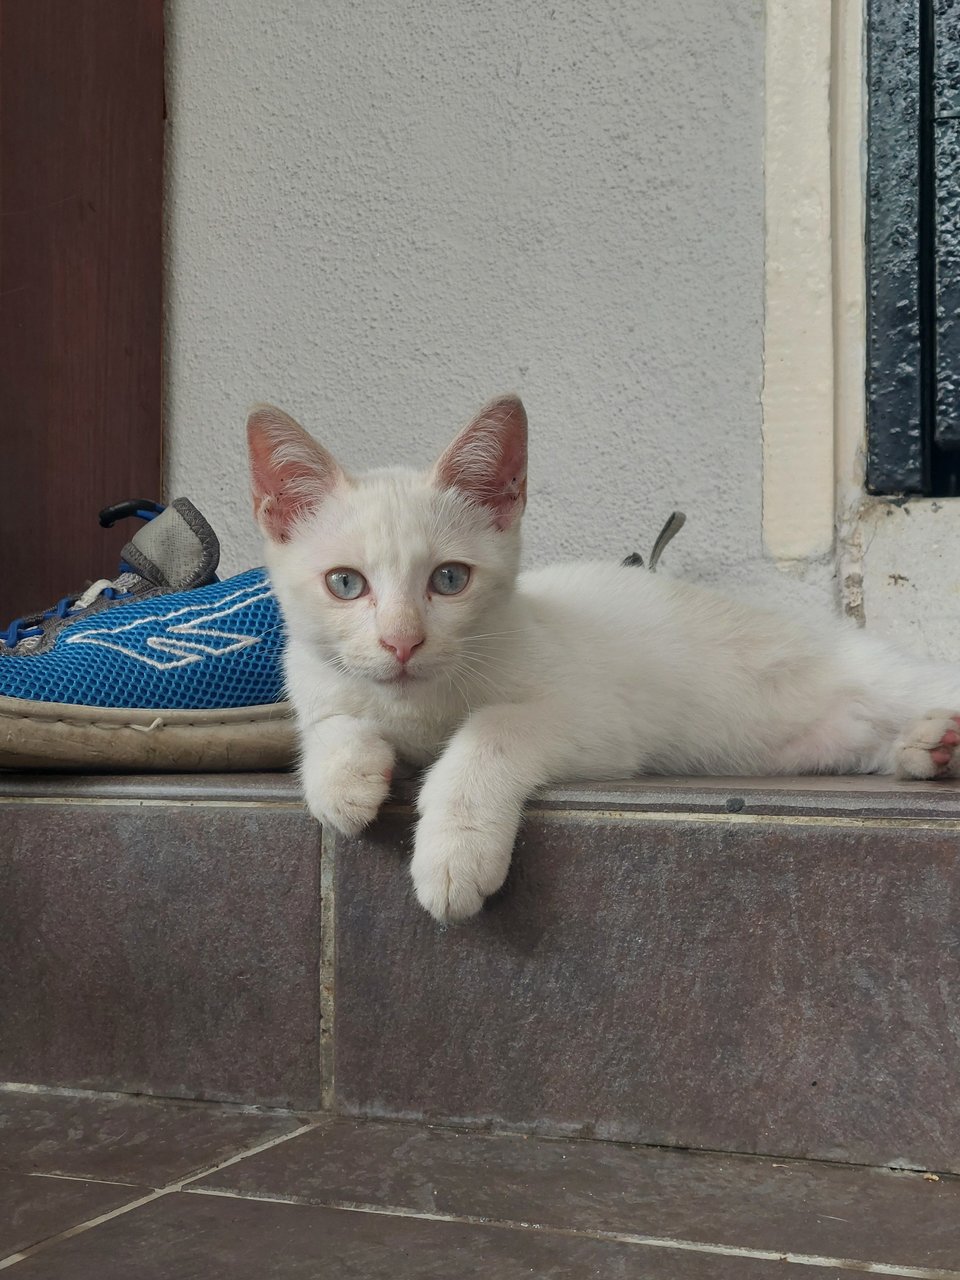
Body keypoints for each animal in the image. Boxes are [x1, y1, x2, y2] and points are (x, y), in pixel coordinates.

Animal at [245, 396, 960, 921]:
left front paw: (454, 853)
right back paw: (929, 747)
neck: (419, 707)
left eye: (449, 580)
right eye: (345, 583)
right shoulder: (317, 680)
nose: (402, 642)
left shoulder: (600, 722)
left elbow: (492, 728)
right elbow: (327, 723)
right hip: (827, 740)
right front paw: (343, 777)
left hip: (880, 673)